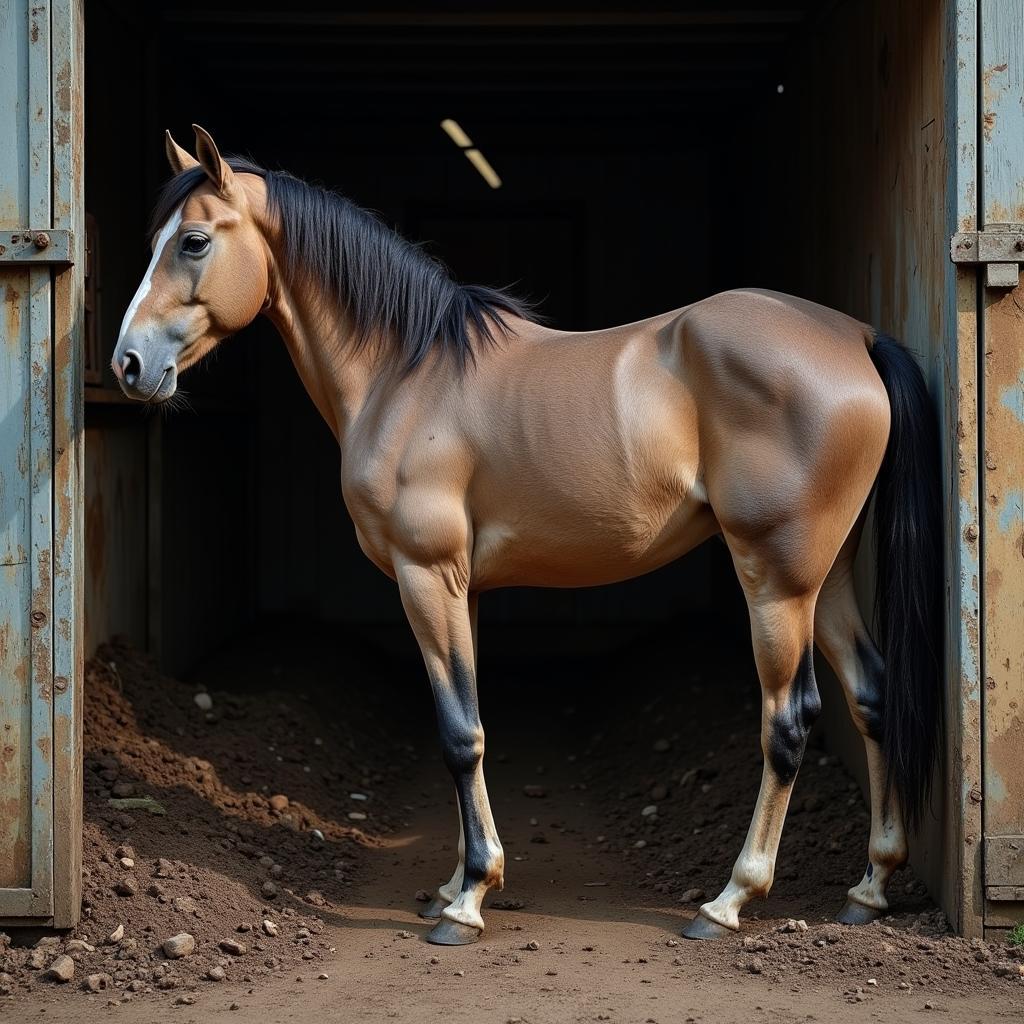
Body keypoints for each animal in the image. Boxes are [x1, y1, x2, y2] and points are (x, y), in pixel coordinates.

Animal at [114, 125, 942, 942]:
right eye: (154, 239)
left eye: (193, 241)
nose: (129, 364)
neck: (406, 376)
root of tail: (855, 337)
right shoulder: (462, 587)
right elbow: (466, 721)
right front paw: (455, 882)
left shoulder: (425, 574)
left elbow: (458, 733)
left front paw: (470, 901)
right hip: (825, 575)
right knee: (870, 694)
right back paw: (869, 887)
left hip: (775, 577)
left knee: (788, 720)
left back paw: (730, 899)